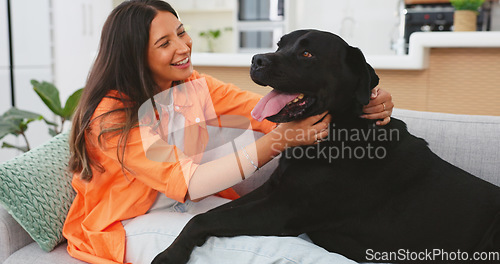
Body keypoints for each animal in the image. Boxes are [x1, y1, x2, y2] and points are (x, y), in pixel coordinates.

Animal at [153, 29, 500, 264]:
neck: (339, 132)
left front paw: (169, 256)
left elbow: (205, 219)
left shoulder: (282, 210)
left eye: (307, 55)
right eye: (280, 45)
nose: (256, 59)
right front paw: (175, 249)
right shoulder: (272, 191)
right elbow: (208, 215)